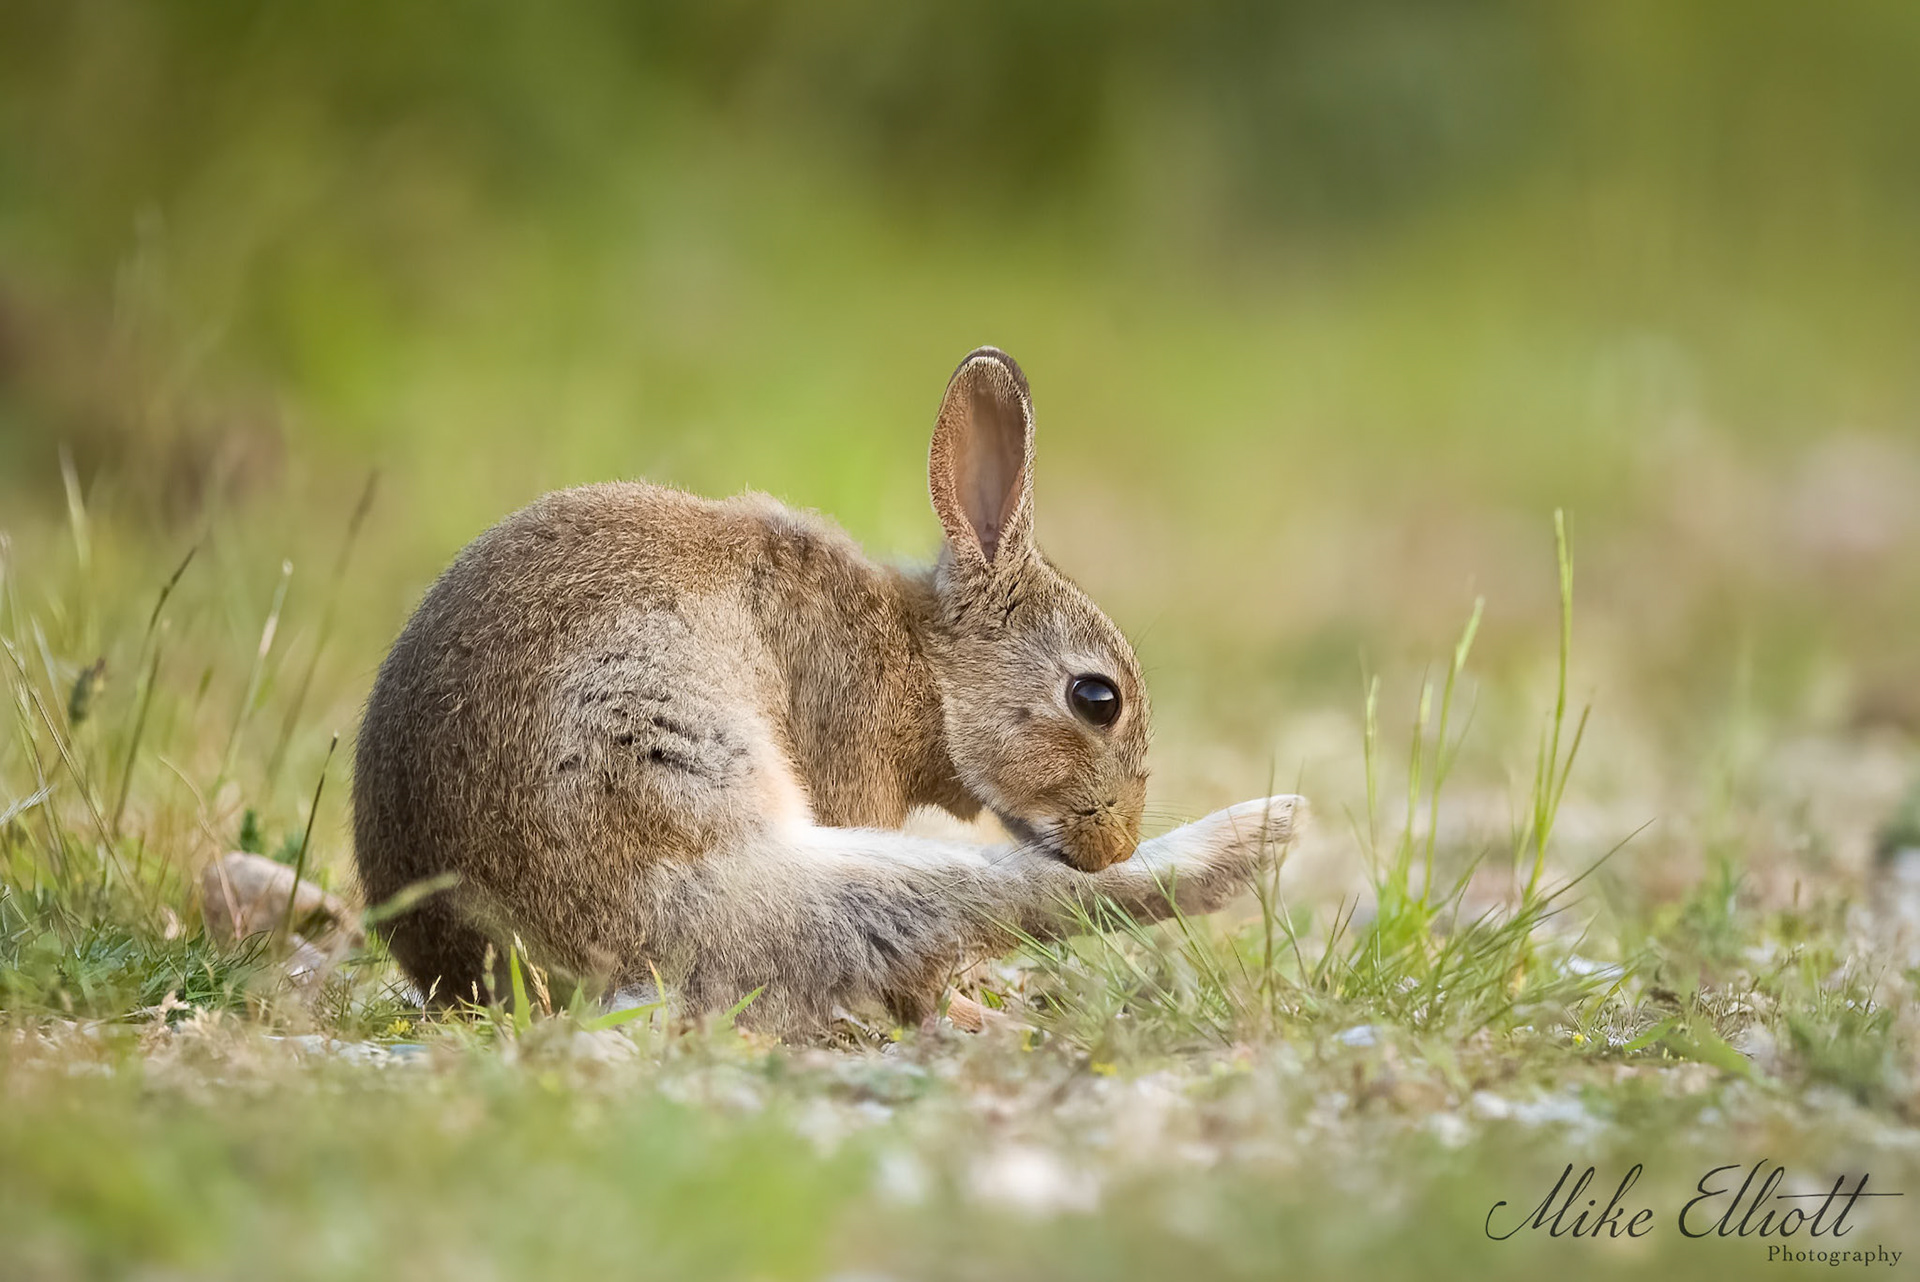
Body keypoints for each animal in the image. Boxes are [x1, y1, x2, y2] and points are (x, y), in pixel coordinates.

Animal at [352, 347, 1302, 1034]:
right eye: (1096, 699)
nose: (1112, 843)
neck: (926, 668)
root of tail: (477, 972)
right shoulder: (853, 770)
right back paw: (1247, 840)